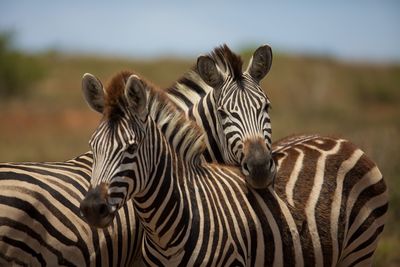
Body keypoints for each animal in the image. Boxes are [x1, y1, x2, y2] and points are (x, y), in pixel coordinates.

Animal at [79, 74, 390, 267]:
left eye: (131, 148)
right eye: (93, 146)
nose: (93, 208)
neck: (165, 230)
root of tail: (338, 138)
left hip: (359, 252)